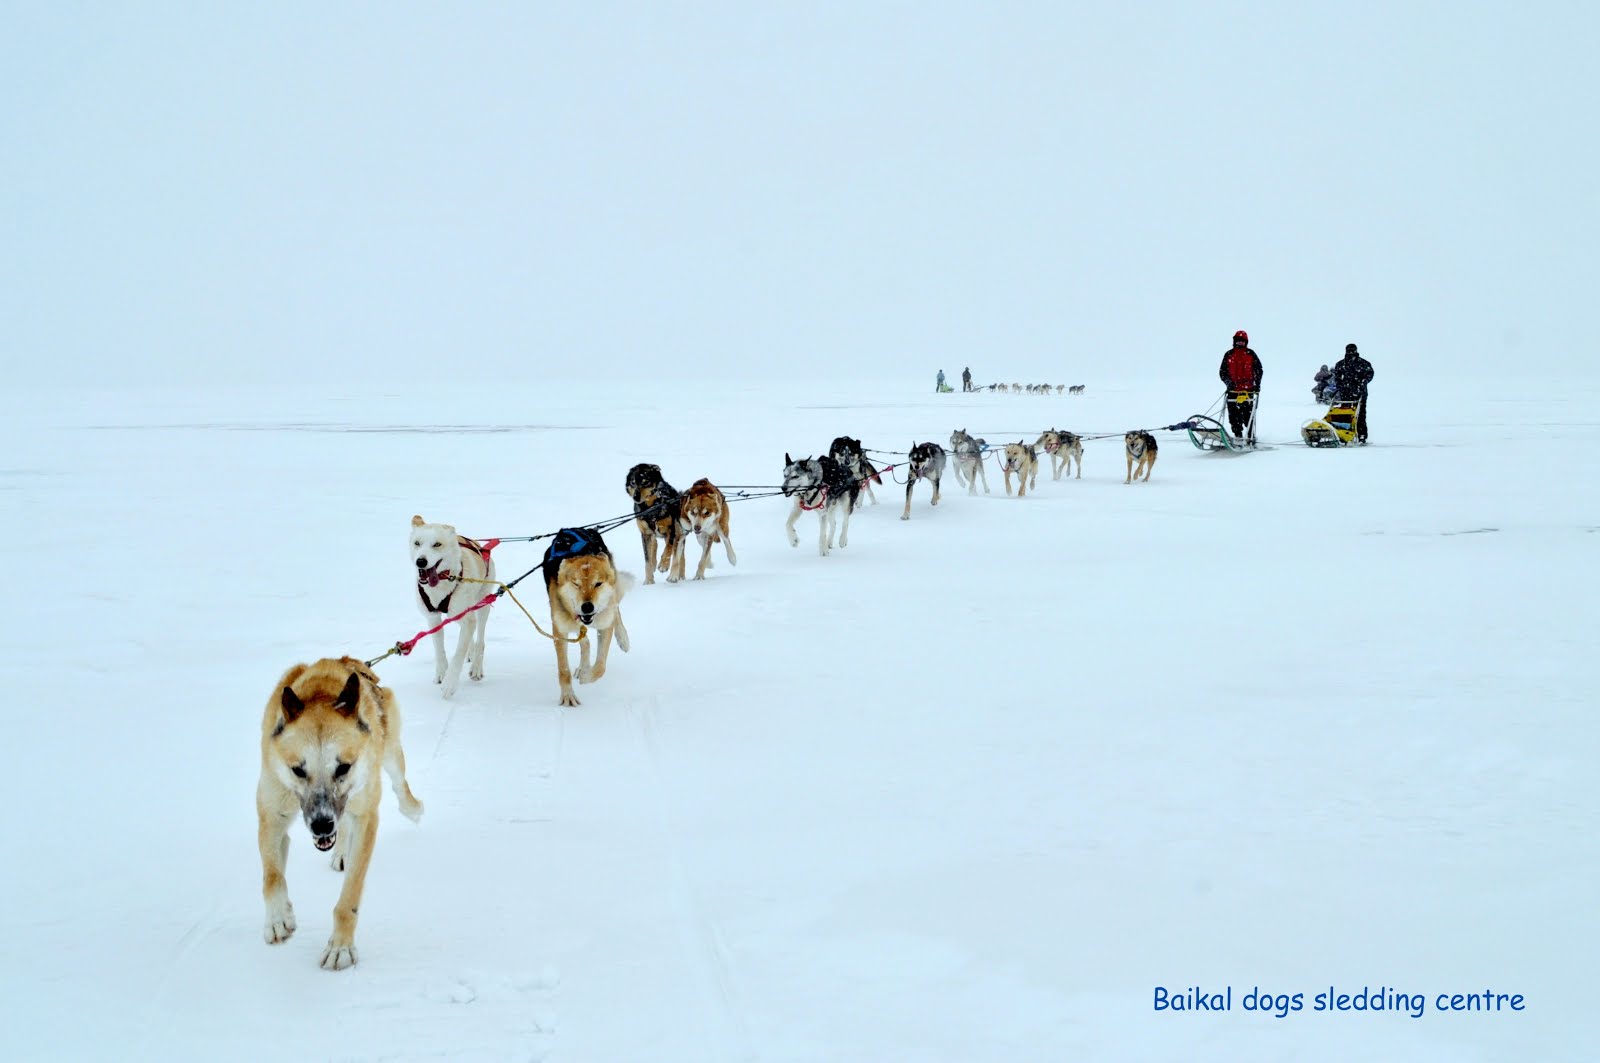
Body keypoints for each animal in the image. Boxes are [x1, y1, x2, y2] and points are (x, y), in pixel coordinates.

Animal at [256, 656, 422, 973]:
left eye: (344, 766)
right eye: (298, 770)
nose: (321, 825)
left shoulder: (366, 818)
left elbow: (349, 898)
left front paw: (340, 947)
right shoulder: (271, 814)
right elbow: (272, 876)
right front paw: (277, 917)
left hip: (389, 754)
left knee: (399, 783)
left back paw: (413, 808)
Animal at [406, 515, 492, 697]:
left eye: (437, 544)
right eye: (417, 543)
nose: (420, 561)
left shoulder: (468, 620)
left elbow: (458, 653)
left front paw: (450, 682)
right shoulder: (433, 618)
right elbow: (439, 649)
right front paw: (441, 673)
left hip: (482, 606)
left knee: (480, 638)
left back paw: (476, 667)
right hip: (457, 615)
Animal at [544, 525, 630, 704]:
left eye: (598, 584)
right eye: (576, 584)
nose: (587, 607)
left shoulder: (604, 625)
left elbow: (601, 666)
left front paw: (586, 677)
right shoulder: (560, 630)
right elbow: (564, 669)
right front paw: (568, 695)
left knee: (616, 611)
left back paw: (623, 638)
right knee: (585, 642)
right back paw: (583, 666)